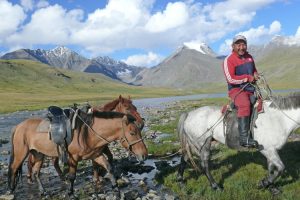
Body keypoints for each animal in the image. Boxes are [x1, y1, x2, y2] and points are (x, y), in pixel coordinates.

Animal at [7, 110, 148, 196]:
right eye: (132, 133)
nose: (144, 155)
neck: (88, 133)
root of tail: (18, 126)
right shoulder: (73, 158)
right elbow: (72, 176)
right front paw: (70, 193)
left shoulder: (96, 155)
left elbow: (109, 167)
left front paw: (116, 189)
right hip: (21, 154)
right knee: (14, 168)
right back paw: (11, 189)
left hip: (38, 154)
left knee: (36, 172)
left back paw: (43, 191)